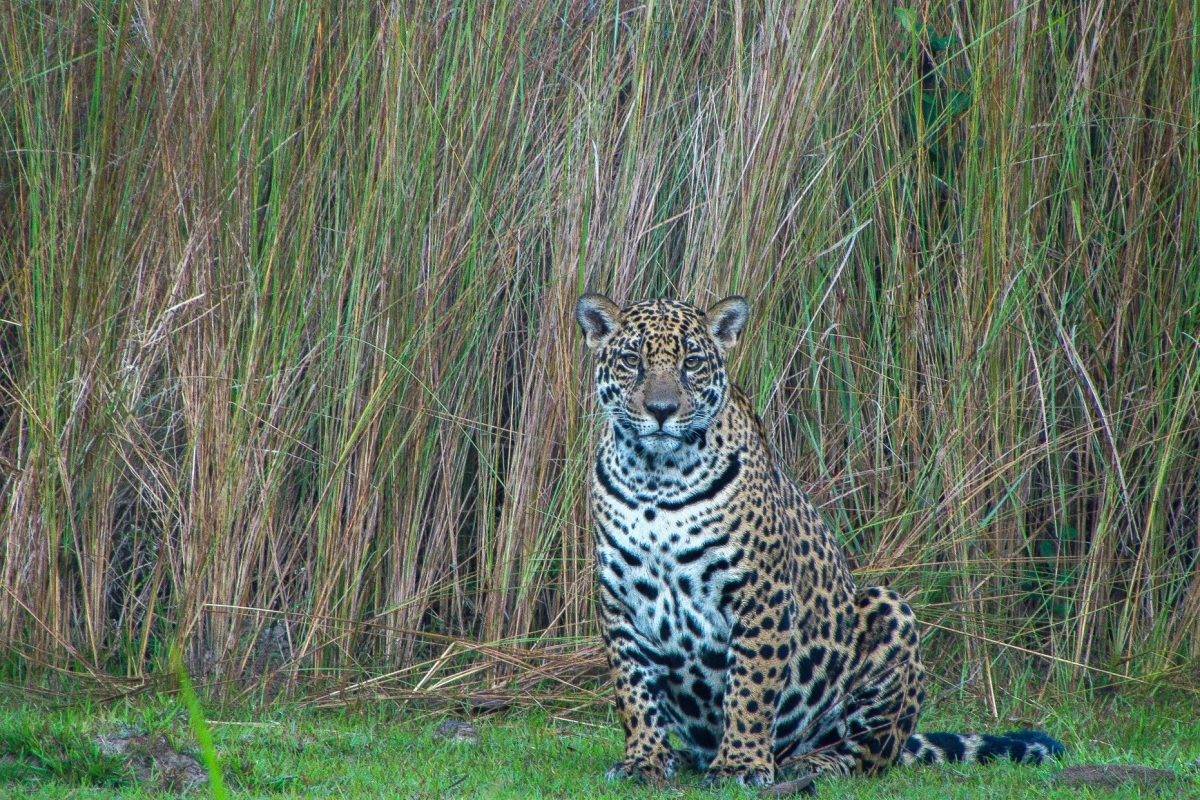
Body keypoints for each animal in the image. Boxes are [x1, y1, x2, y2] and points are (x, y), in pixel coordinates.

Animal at [576, 293, 1064, 790]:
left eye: (691, 363)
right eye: (631, 361)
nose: (661, 409)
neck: (656, 477)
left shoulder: (762, 594)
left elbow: (750, 687)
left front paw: (740, 764)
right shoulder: (620, 600)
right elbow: (634, 691)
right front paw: (645, 759)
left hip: (890, 612)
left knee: (867, 753)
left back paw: (807, 765)